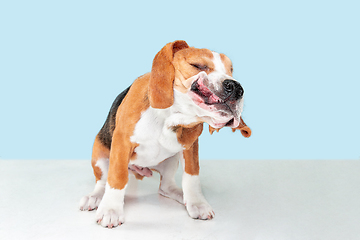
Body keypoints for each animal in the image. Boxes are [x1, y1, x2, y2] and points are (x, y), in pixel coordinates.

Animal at [80, 40, 252, 228]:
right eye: (198, 65)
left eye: (231, 70)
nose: (236, 88)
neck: (170, 116)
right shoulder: (122, 143)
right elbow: (117, 177)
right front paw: (111, 210)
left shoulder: (190, 147)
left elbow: (192, 176)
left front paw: (197, 203)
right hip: (100, 156)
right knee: (103, 182)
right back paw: (95, 197)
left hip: (172, 160)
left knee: (165, 187)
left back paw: (182, 195)